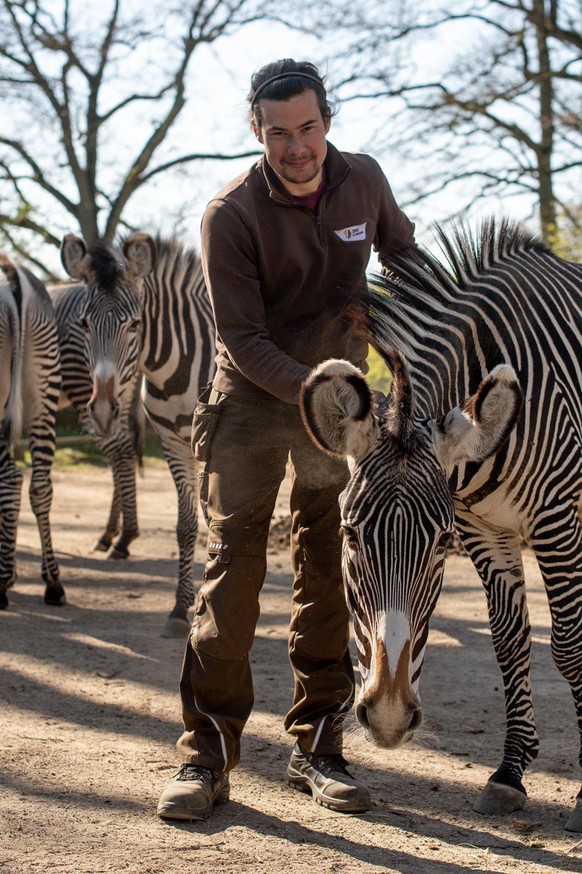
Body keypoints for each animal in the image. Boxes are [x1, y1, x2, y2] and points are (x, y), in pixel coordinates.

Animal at [59, 235, 217, 636]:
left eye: (135, 325)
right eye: (84, 323)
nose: (101, 411)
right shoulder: (174, 444)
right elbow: (187, 526)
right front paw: (180, 608)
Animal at [302, 220, 582, 832]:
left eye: (439, 544)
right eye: (350, 536)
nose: (387, 718)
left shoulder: (558, 522)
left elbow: (569, 646)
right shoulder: (486, 531)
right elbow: (510, 644)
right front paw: (509, 774)